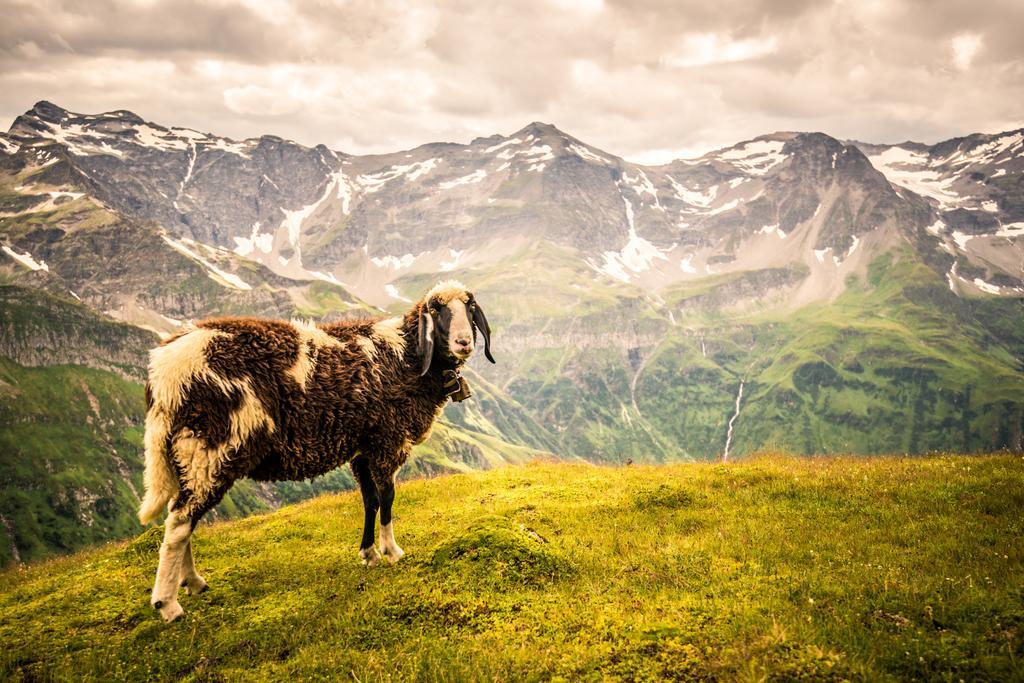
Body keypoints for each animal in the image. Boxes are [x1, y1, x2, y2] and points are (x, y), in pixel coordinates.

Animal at [138, 280, 493, 622]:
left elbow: (370, 501)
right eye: (436, 309)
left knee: (182, 517)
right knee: (180, 522)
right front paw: (392, 551)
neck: (408, 356)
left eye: (470, 306)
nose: (464, 342)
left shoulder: (362, 449)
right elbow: (388, 498)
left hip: (188, 453)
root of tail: (163, 373)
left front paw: (368, 554)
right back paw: (168, 603)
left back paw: (192, 582)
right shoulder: (387, 441)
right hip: (210, 446)